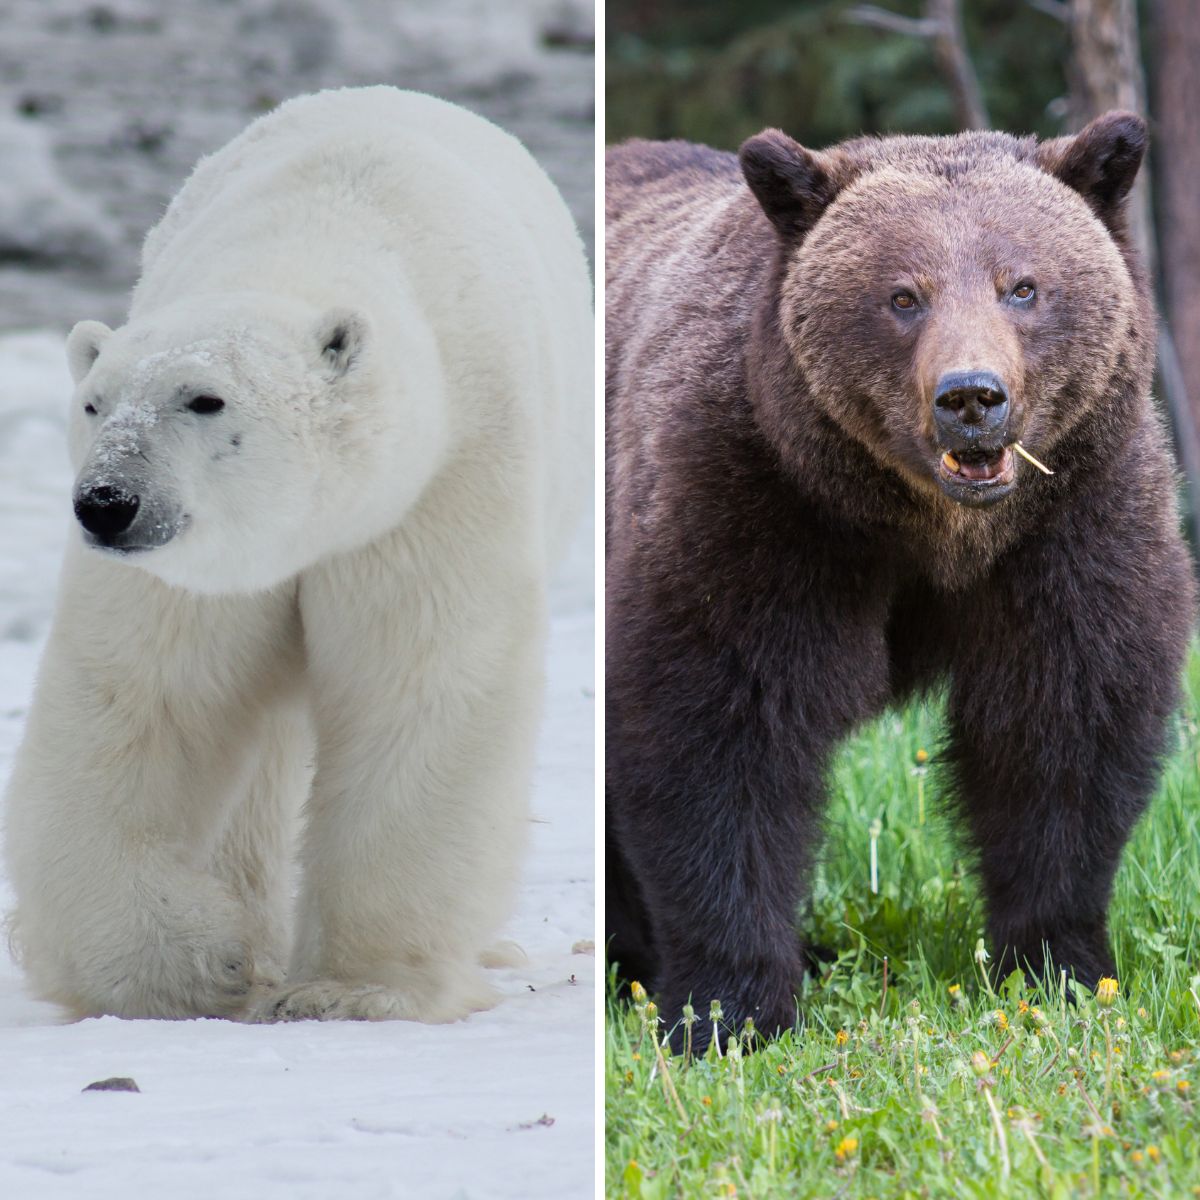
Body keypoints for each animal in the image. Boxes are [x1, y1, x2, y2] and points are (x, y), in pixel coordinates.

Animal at [2, 87, 592, 1022]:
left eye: (204, 399)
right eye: (94, 404)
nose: (106, 504)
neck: (314, 236)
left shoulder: (439, 482)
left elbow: (418, 686)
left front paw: (353, 990)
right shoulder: (199, 569)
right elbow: (143, 699)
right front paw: (196, 963)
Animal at [604, 112, 1195, 1051]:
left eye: (1022, 285)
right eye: (902, 296)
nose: (971, 396)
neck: (928, 528)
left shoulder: (1072, 520)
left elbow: (1062, 729)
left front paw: (1058, 967)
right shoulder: (752, 504)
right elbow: (718, 733)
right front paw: (728, 1009)